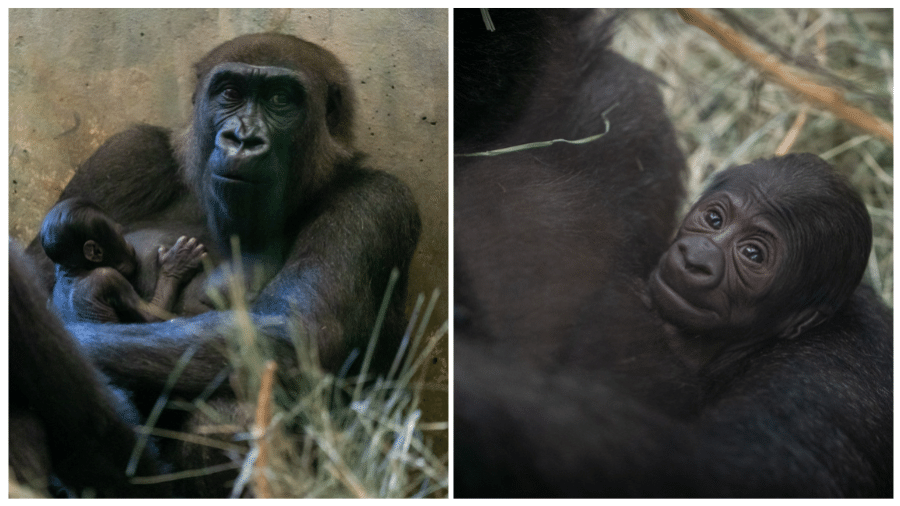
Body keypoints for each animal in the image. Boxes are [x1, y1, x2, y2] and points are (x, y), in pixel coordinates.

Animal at [40, 198, 207, 324]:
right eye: (120, 234)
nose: (128, 243)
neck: (73, 270)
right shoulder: (109, 278)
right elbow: (151, 315)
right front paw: (175, 265)